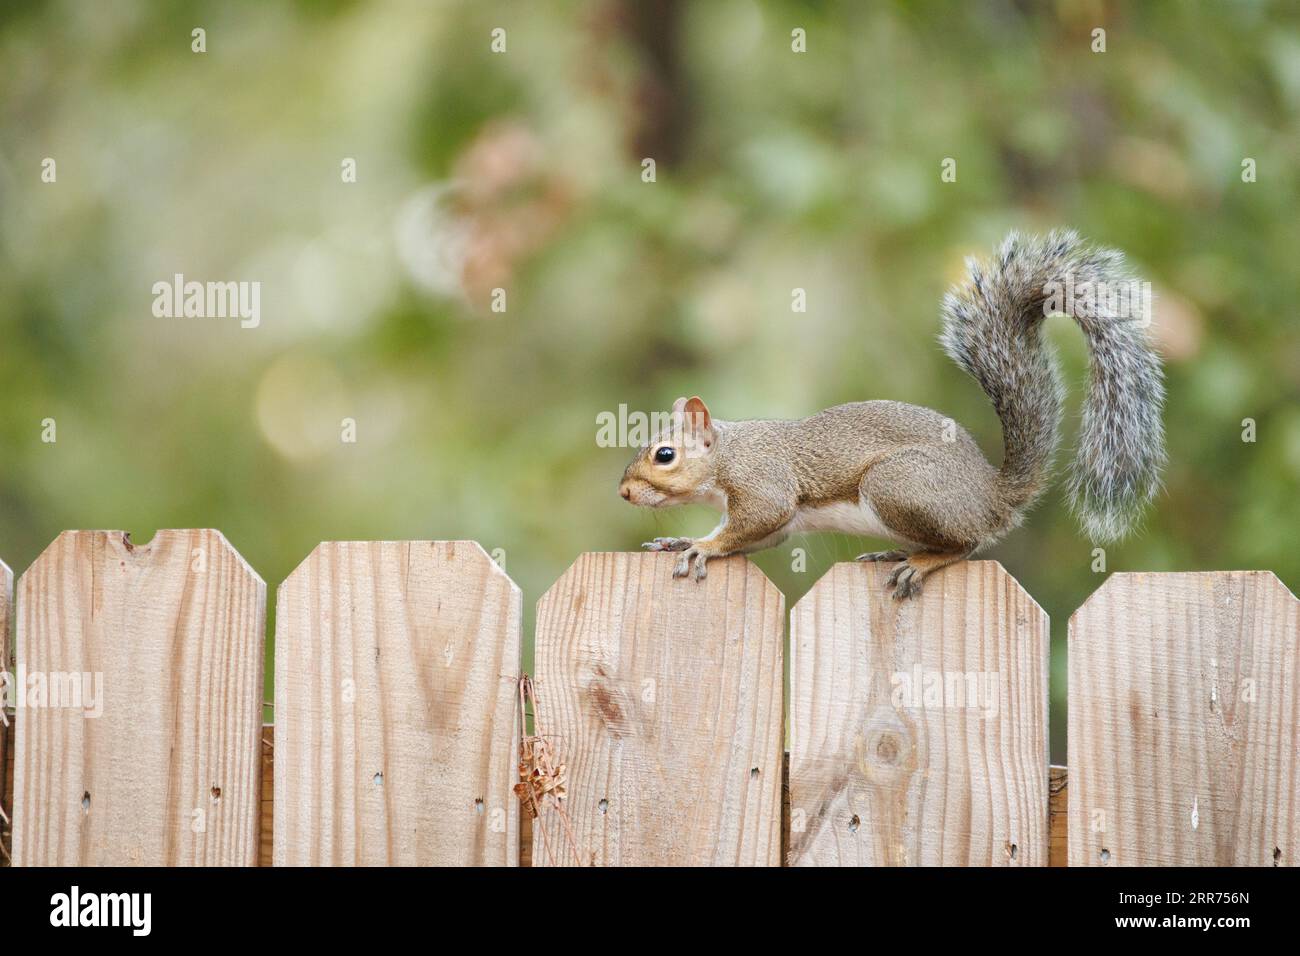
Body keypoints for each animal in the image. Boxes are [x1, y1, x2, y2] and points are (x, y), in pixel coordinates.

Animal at [618, 231, 1170, 598]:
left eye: (664, 455)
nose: (624, 492)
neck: (728, 455)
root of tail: (992, 496)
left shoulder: (763, 482)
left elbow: (757, 519)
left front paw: (703, 547)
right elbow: (764, 534)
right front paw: (687, 538)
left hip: (897, 484)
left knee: (965, 546)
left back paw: (920, 562)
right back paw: (897, 552)